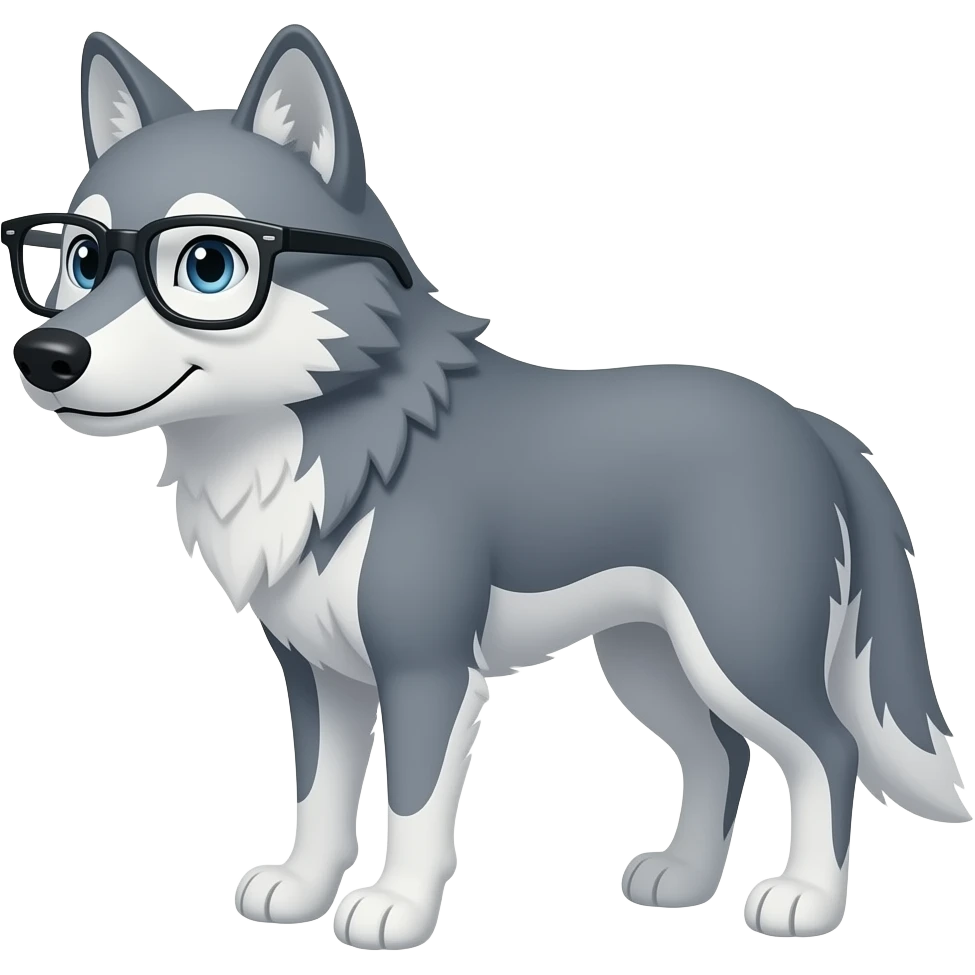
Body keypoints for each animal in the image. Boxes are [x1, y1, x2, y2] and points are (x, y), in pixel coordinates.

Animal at [4, 24, 968, 949]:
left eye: (206, 264)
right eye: (78, 261)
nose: (46, 355)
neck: (340, 440)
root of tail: (809, 422)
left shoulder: (427, 668)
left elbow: (412, 805)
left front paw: (393, 909)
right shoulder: (319, 675)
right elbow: (317, 797)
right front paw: (302, 891)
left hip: (738, 650)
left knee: (825, 749)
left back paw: (806, 900)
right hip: (648, 660)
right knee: (720, 755)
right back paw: (684, 879)